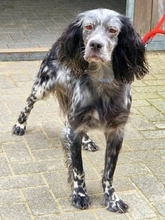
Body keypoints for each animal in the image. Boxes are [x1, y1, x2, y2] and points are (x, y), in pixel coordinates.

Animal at [12, 8, 148, 213]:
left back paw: (87, 141)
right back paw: (20, 125)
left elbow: (109, 172)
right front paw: (80, 195)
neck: (102, 82)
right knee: (28, 104)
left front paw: (112, 199)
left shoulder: (116, 131)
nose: (95, 45)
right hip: (42, 86)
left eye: (113, 30)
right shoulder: (74, 129)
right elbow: (78, 169)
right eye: (88, 27)